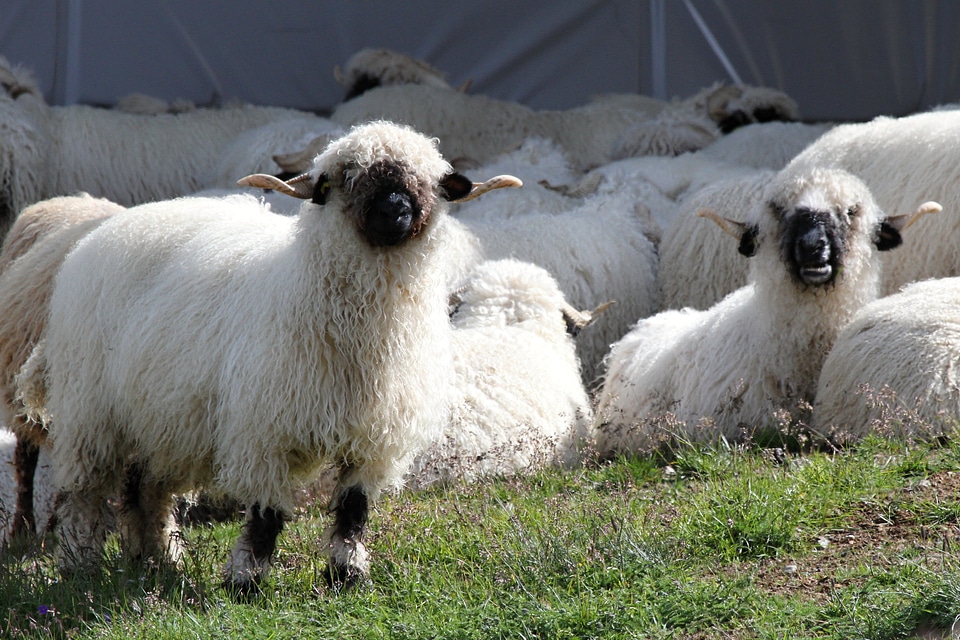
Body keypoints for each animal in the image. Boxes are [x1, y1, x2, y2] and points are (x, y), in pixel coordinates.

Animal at [16, 119, 524, 592]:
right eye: (346, 177)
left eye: (427, 179)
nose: (396, 210)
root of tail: (103, 230)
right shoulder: (265, 429)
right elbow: (266, 513)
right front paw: (246, 580)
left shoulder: (373, 437)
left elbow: (354, 509)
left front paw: (347, 573)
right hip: (91, 414)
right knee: (83, 494)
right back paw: (79, 564)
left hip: (162, 416)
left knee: (147, 489)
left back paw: (158, 559)